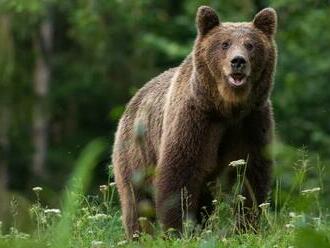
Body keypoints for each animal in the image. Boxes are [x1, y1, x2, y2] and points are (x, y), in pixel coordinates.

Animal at [112, 5, 278, 237]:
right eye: (224, 43)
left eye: (250, 45)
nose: (238, 61)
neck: (227, 107)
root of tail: (133, 99)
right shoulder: (195, 120)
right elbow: (179, 175)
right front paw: (178, 230)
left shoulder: (252, 122)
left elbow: (252, 176)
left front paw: (246, 227)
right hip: (136, 152)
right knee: (137, 201)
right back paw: (139, 235)